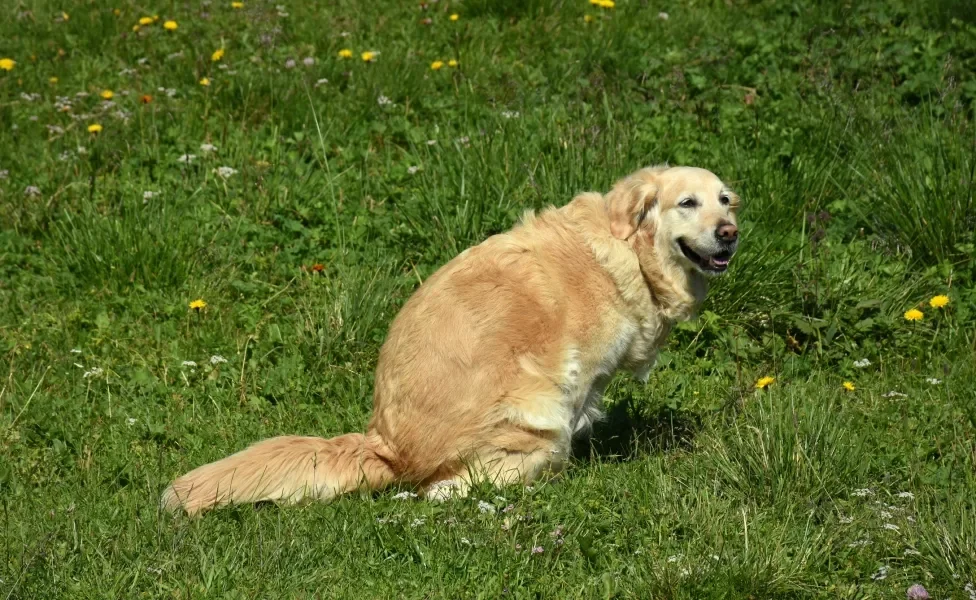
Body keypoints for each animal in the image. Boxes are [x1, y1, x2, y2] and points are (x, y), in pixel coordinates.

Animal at [162, 165, 740, 516]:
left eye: (726, 202)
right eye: (687, 203)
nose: (730, 233)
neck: (629, 252)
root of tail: (385, 445)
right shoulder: (576, 380)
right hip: (537, 415)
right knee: (449, 487)